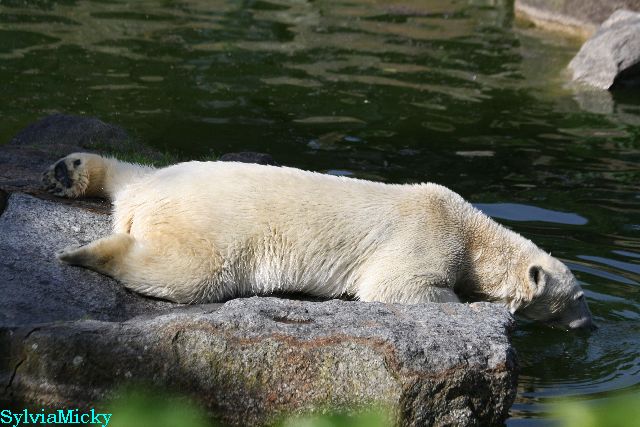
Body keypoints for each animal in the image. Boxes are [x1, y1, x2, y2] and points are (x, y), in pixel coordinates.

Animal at [42, 152, 594, 330]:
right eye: (579, 298)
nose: (590, 327)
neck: (474, 232)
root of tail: (143, 201)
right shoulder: (426, 234)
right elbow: (397, 287)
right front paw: (481, 309)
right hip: (210, 231)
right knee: (188, 272)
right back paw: (84, 251)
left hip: (168, 175)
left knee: (127, 169)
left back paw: (69, 171)